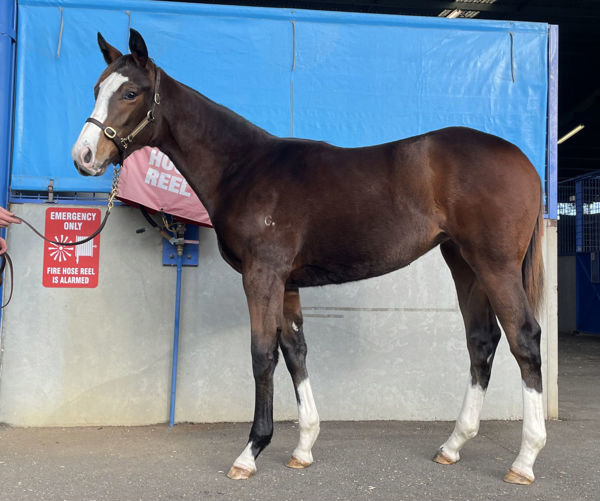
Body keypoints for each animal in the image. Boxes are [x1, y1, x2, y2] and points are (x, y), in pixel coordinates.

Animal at [71, 29, 548, 482]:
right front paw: (302, 449)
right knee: (481, 341)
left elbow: (262, 354)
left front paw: (250, 453)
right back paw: (453, 445)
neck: (243, 167)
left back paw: (525, 460)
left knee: (524, 339)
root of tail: (522, 158)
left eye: (130, 93)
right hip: (463, 262)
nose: (84, 156)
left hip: (495, 265)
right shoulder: (287, 283)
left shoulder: (261, 276)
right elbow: (294, 351)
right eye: (95, 87)